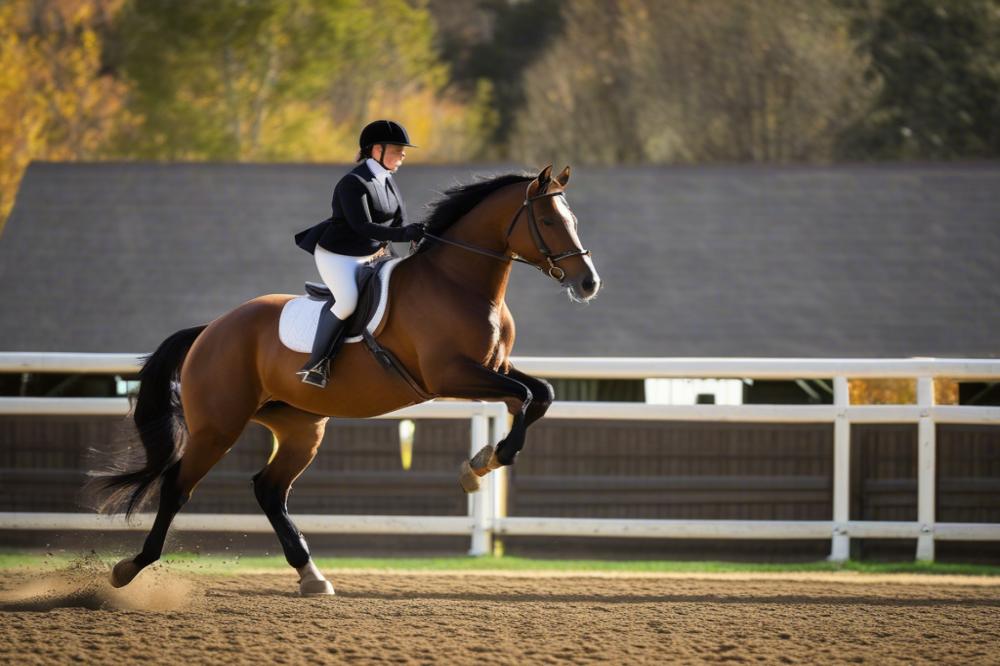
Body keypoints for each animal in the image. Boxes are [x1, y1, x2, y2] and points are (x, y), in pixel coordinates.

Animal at [97, 164, 601, 595]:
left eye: (572, 219)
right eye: (549, 221)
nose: (588, 283)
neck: (460, 283)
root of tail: (211, 329)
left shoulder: (492, 370)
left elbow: (538, 395)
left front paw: (485, 460)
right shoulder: (451, 376)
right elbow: (526, 396)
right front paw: (482, 464)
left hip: (300, 427)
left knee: (270, 490)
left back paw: (311, 575)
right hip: (219, 426)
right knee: (178, 486)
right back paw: (129, 569)